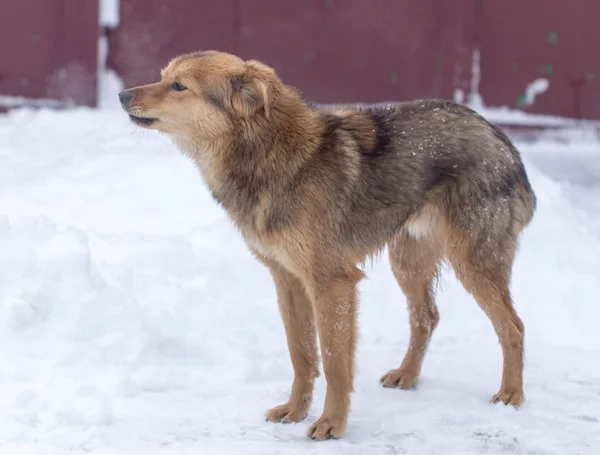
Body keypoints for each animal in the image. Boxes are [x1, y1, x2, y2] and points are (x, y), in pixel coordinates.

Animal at [117, 50, 536, 442]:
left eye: (179, 86)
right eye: (162, 77)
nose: (121, 95)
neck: (266, 153)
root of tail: (504, 143)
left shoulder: (332, 283)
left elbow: (335, 364)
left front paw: (332, 424)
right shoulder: (287, 280)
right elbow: (301, 355)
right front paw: (294, 411)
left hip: (472, 263)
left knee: (513, 326)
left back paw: (511, 395)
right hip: (408, 262)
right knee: (426, 317)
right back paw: (407, 375)